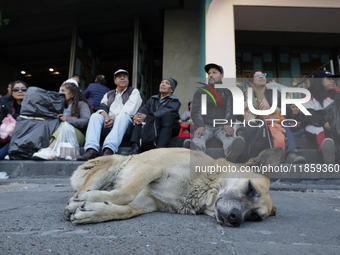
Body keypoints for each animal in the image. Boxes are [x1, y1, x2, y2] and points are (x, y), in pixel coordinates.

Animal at [63, 146, 284, 226]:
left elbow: (125, 210)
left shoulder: (148, 201)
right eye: (250, 188)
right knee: (78, 191)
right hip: (109, 168)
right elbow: (126, 193)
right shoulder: (153, 168)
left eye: (255, 217)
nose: (236, 219)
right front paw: (86, 200)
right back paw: (81, 196)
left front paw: (94, 211)